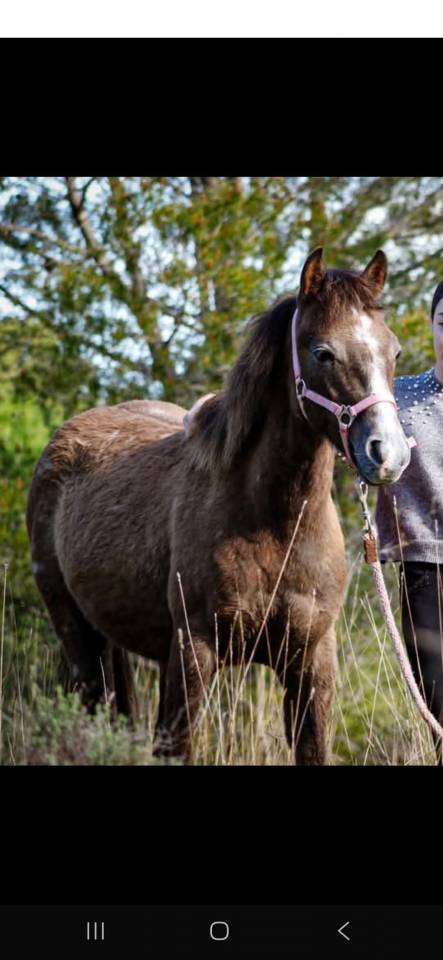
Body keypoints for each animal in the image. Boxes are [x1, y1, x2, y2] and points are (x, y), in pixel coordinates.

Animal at [26, 247, 411, 764]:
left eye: (394, 352)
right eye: (323, 353)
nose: (387, 453)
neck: (273, 525)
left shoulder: (312, 661)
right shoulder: (194, 652)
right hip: (77, 636)